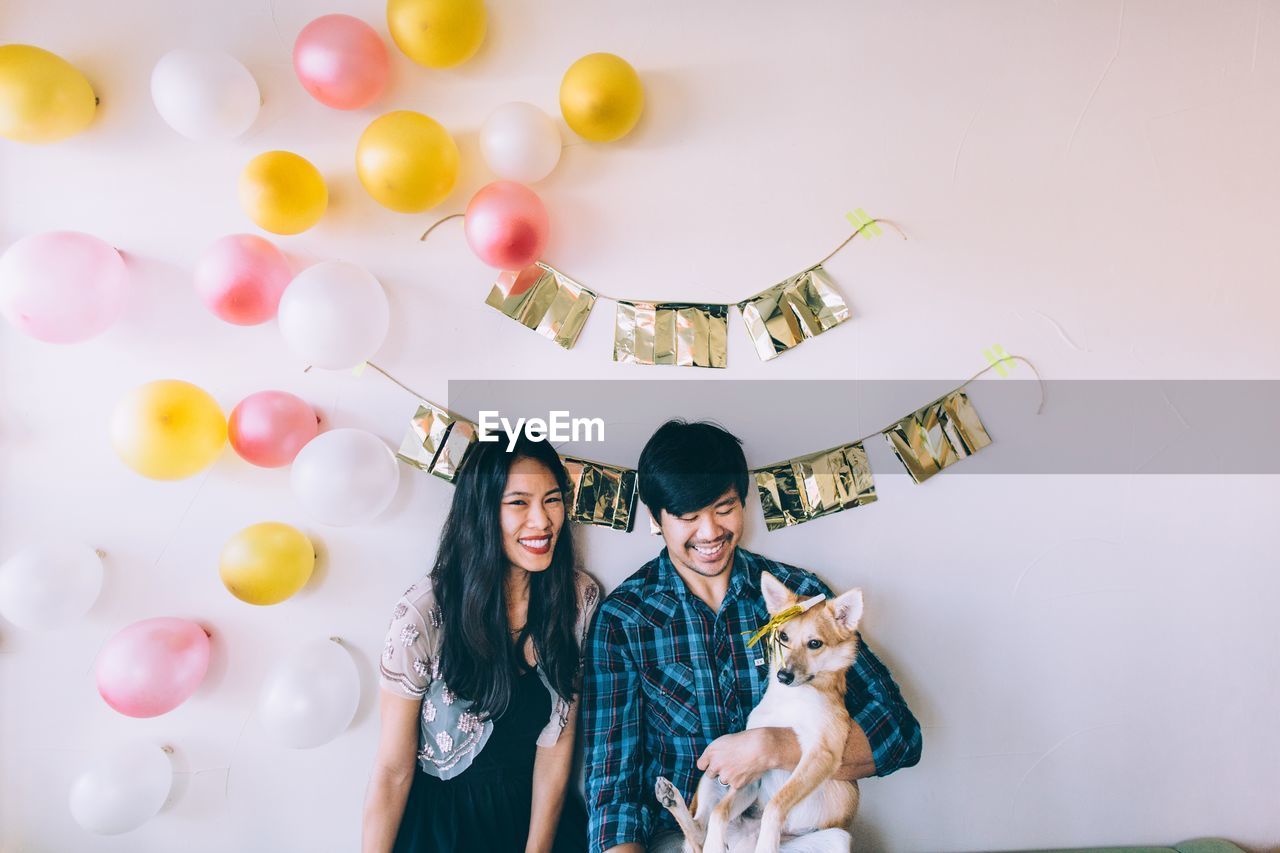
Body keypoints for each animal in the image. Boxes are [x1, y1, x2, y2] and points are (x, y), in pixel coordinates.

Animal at [655, 571, 865, 850]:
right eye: (783, 637)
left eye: (815, 643)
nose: (783, 675)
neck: (789, 699)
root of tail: (743, 845)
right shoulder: (750, 771)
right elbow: (720, 811)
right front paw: (714, 844)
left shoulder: (821, 754)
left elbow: (775, 805)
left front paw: (766, 844)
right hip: (713, 768)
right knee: (700, 833)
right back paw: (673, 799)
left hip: (838, 838)